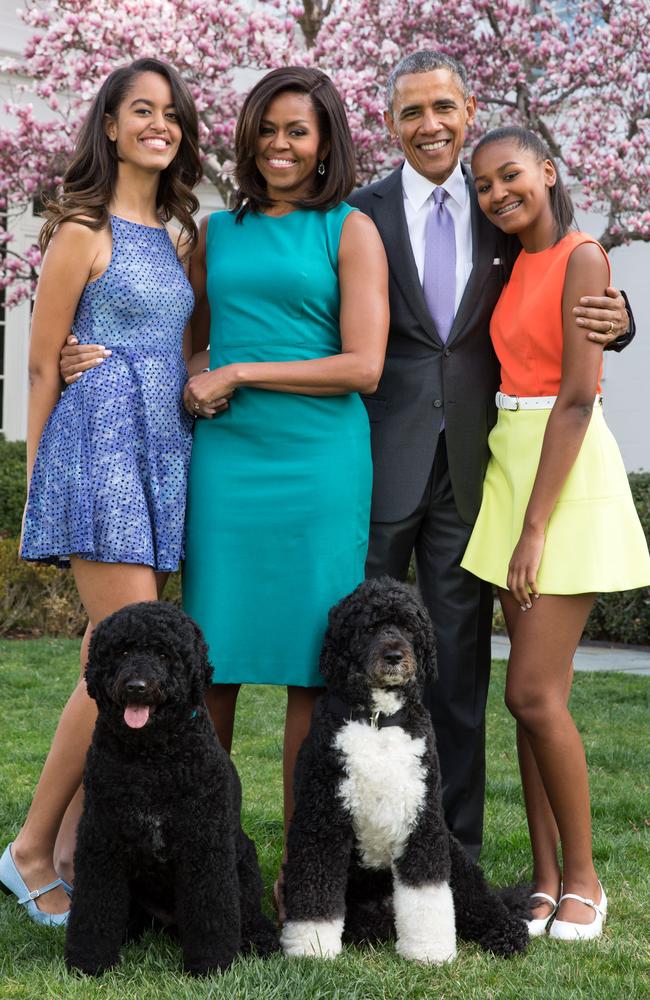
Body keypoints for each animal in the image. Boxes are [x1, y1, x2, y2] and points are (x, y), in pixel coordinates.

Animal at [64, 600, 278, 976]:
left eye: (164, 654)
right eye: (122, 650)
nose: (136, 685)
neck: (151, 760)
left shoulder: (204, 844)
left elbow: (211, 912)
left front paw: (211, 963)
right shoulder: (102, 839)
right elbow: (94, 907)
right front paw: (89, 961)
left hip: (244, 861)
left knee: (249, 914)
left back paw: (260, 940)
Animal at [278, 584, 528, 964]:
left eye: (409, 628)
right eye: (369, 628)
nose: (395, 655)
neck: (378, 721)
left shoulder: (422, 822)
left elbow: (426, 893)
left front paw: (429, 950)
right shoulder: (322, 821)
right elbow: (315, 890)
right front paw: (312, 947)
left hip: (455, 855)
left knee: (481, 900)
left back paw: (507, 931)